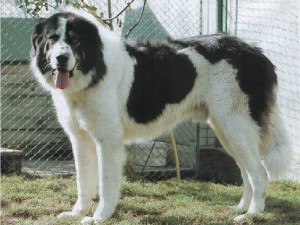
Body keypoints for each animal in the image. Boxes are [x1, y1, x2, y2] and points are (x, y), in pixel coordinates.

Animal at [30, 7, 290, 225]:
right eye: (52, 38)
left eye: (75, 40)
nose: (61, 58)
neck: (93, 67)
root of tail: (256, 52)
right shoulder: (80, 140)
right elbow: (83, 183)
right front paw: (77, 213)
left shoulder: (108, 141)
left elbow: (105, 184)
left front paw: (100, 217)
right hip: (227, 130)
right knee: (247, 172)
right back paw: (241, 208)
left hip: (235, 125)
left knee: (259, 173)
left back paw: (252, 215)